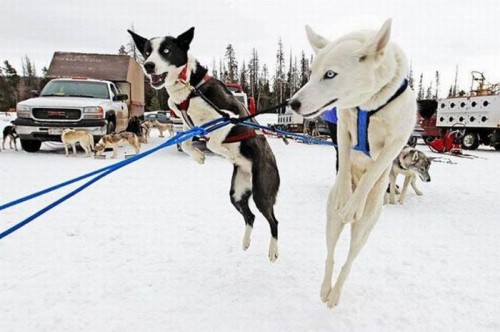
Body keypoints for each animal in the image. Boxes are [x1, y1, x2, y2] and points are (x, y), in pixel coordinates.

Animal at [129, 27, 282, 262]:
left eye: (166, 50)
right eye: (147, 52)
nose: (148, 66)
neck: (189, 85)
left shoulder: (227, 117)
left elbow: (212, 143)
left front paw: (219, 150)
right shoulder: (188, 124)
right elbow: (186, 143)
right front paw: (198, 156)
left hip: (262, 192)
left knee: (273, 220)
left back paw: (273, 251)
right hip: (237, 194)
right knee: (250, 216)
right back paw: (246, 242)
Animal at [290, 19, 418, 308]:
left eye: (330, 74)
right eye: (312, 72)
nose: (292, 103)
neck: (368, 105)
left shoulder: (396, 144)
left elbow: (373, 172)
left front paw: (353, 202)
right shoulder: (342, 129)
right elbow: (346, 157)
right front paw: (345, 196)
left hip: (364, 228)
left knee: (348, 261)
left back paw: (336, 293)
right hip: (330, 222)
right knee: (331, 255)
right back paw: (326, 288)